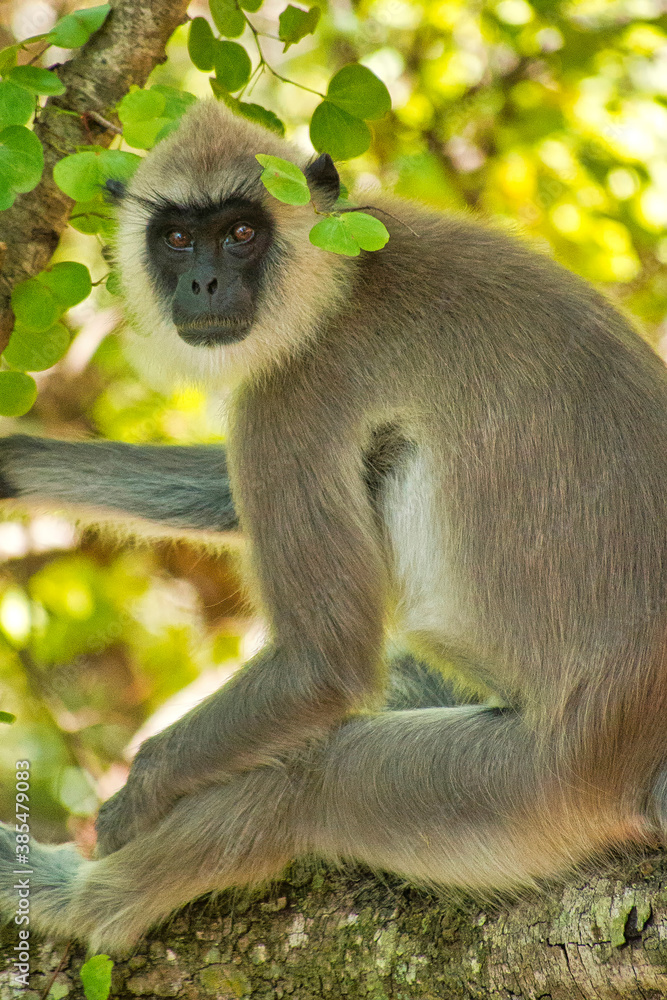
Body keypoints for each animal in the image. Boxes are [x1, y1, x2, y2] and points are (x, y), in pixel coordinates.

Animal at [1, 101, 667, 952]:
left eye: (240, 233)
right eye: (177, 238)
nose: (203, 281)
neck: (344, 280)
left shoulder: (297, 383)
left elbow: (323, 663)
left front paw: (135, 799)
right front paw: (12, 463)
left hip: (531, 787)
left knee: (309, 780)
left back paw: (79, 903)